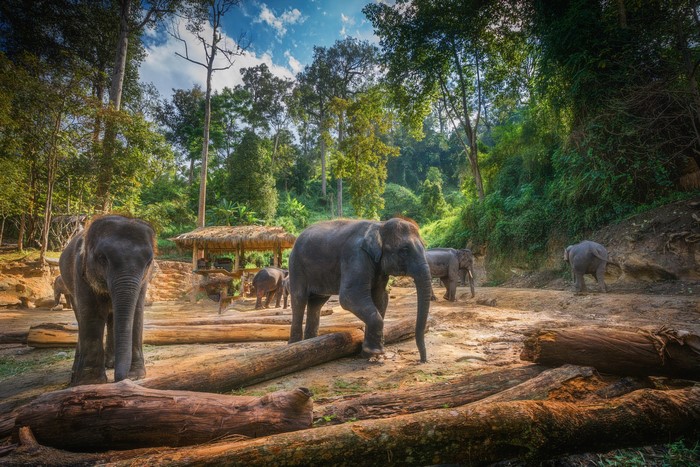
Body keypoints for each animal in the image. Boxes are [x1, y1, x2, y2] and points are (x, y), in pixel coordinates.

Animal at [59, 215, 155, 386]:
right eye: (102, 258)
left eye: (149, 262)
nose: (120, 379)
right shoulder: (80, 271)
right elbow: (91, 313)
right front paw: (90, 382)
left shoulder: (144, 279)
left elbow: (137, 312)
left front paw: (136, 376)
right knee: (81, 318)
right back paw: (76, 372)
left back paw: (110, 363)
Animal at [288, 217, 432, 362]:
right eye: (404, 250)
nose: (422, 360)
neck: (379, 226)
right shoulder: (355, 255)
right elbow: (349, 296)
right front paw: (376, 353)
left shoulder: (378, 267)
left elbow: (380, 297)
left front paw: (368, 354)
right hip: (296, 265)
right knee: (299, 299)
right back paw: (295, 345)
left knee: (317, 302)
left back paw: (310, 343)